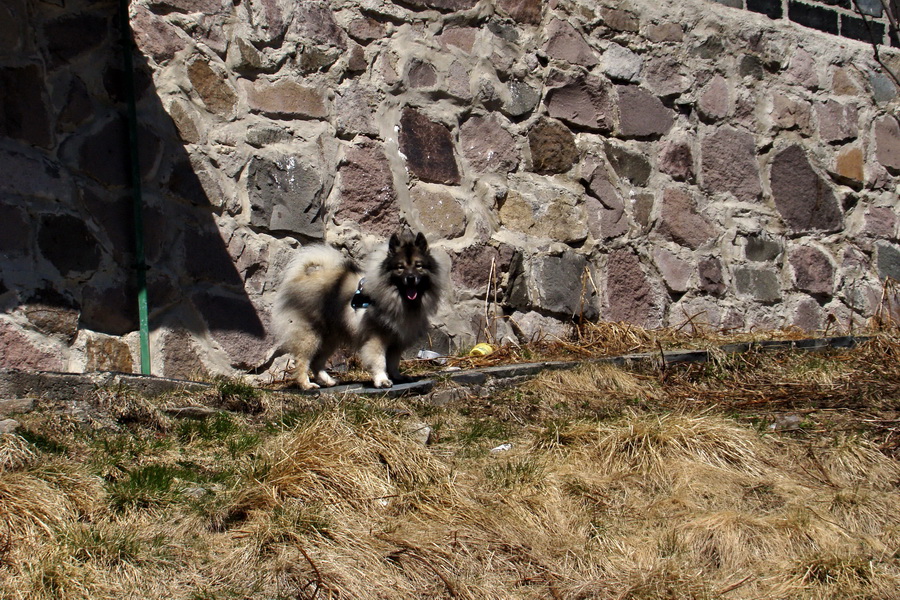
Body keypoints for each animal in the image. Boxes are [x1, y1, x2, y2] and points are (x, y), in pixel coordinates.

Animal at [272, 229, 444, 390]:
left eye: (418, 266)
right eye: (400, 267)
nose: (410, 278)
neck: (398, 298)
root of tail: (302, 277)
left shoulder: (396, 341)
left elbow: (393, 362)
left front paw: (397, 377)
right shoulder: (376, 338)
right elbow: (380, 361)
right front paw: (382, 380)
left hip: (330, 338)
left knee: (317, 362)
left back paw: (328, 381)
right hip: (311, 336)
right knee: (303, 360)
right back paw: (306, 385)